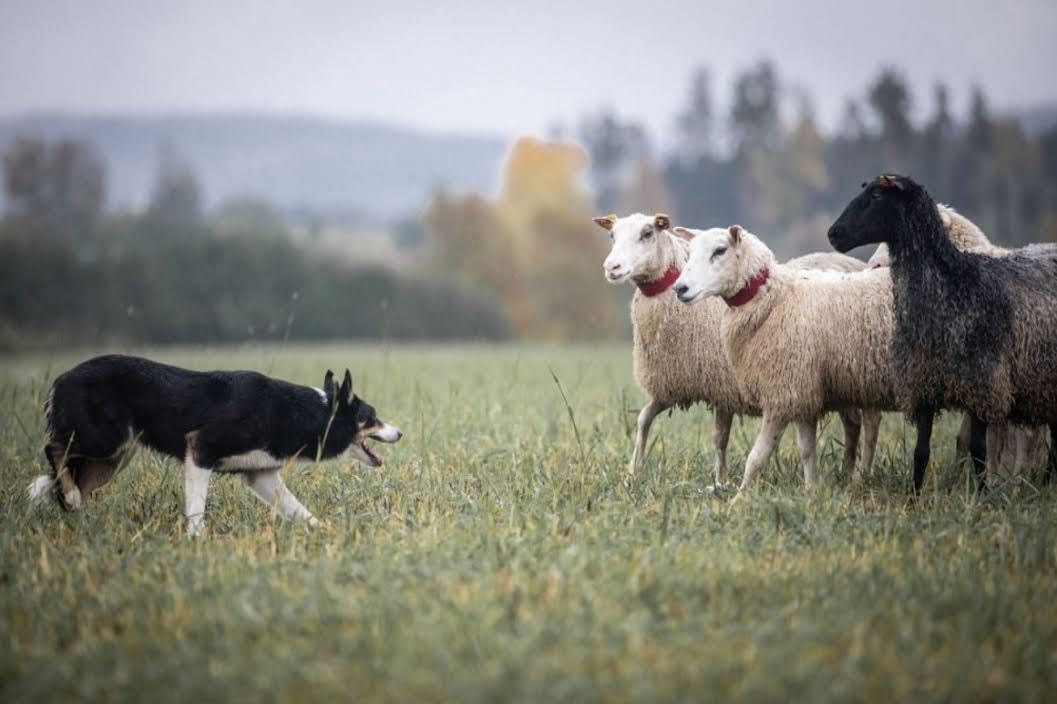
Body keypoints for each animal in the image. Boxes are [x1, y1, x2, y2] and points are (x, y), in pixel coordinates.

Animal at [29, 353, 399, 534]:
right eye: (371, 417)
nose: (399, 433)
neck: (308, 413)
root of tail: (61, 378)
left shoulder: (261, 475)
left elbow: (300, 511)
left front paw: (327, 532)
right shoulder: (200, 449)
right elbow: (197, 506)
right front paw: (196, 539)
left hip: (113, 458)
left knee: (68, 480)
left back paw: (78, 513)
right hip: (105, 441)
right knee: (53, 450)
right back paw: (71, 498)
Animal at [596, 211, 875, 486]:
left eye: (647, 234)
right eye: (612, 235)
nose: (612, 268)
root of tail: (851, 260)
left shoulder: (726, 386)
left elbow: (721, 437)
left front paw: (721, 481)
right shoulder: (680, 384)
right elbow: (647, 419)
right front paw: (633, 473)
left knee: (862, 423)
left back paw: (856, 475)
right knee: (853, 423)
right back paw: (847, 474)